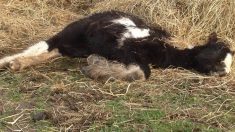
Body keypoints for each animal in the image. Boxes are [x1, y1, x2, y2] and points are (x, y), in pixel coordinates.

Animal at [0, 11, 233, 81]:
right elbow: (141, 71)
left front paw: (97, 67)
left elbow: (141, 71)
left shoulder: (131, 55)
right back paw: (8, 62)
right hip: (70, 34)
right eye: (218, 52)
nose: (224, 72)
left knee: (51, 51)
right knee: (42, 46)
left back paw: (17, 65)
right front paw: (96, 69)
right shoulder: (125, 39)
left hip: (71, 46)